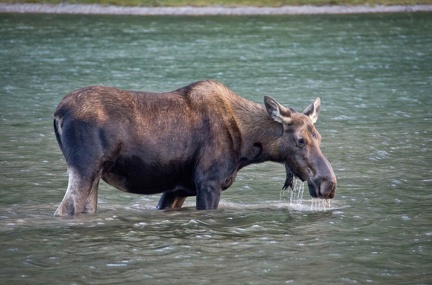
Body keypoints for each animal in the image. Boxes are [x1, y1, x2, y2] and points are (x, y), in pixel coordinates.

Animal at [54, 80, 336, 215]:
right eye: (301, 140)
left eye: (319, 137)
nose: (329, 184)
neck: (246, 147)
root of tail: (58, 113)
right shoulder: (208, 182)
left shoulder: (177, 188)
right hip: (85, 169)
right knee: (65, 209)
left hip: (95, 175)